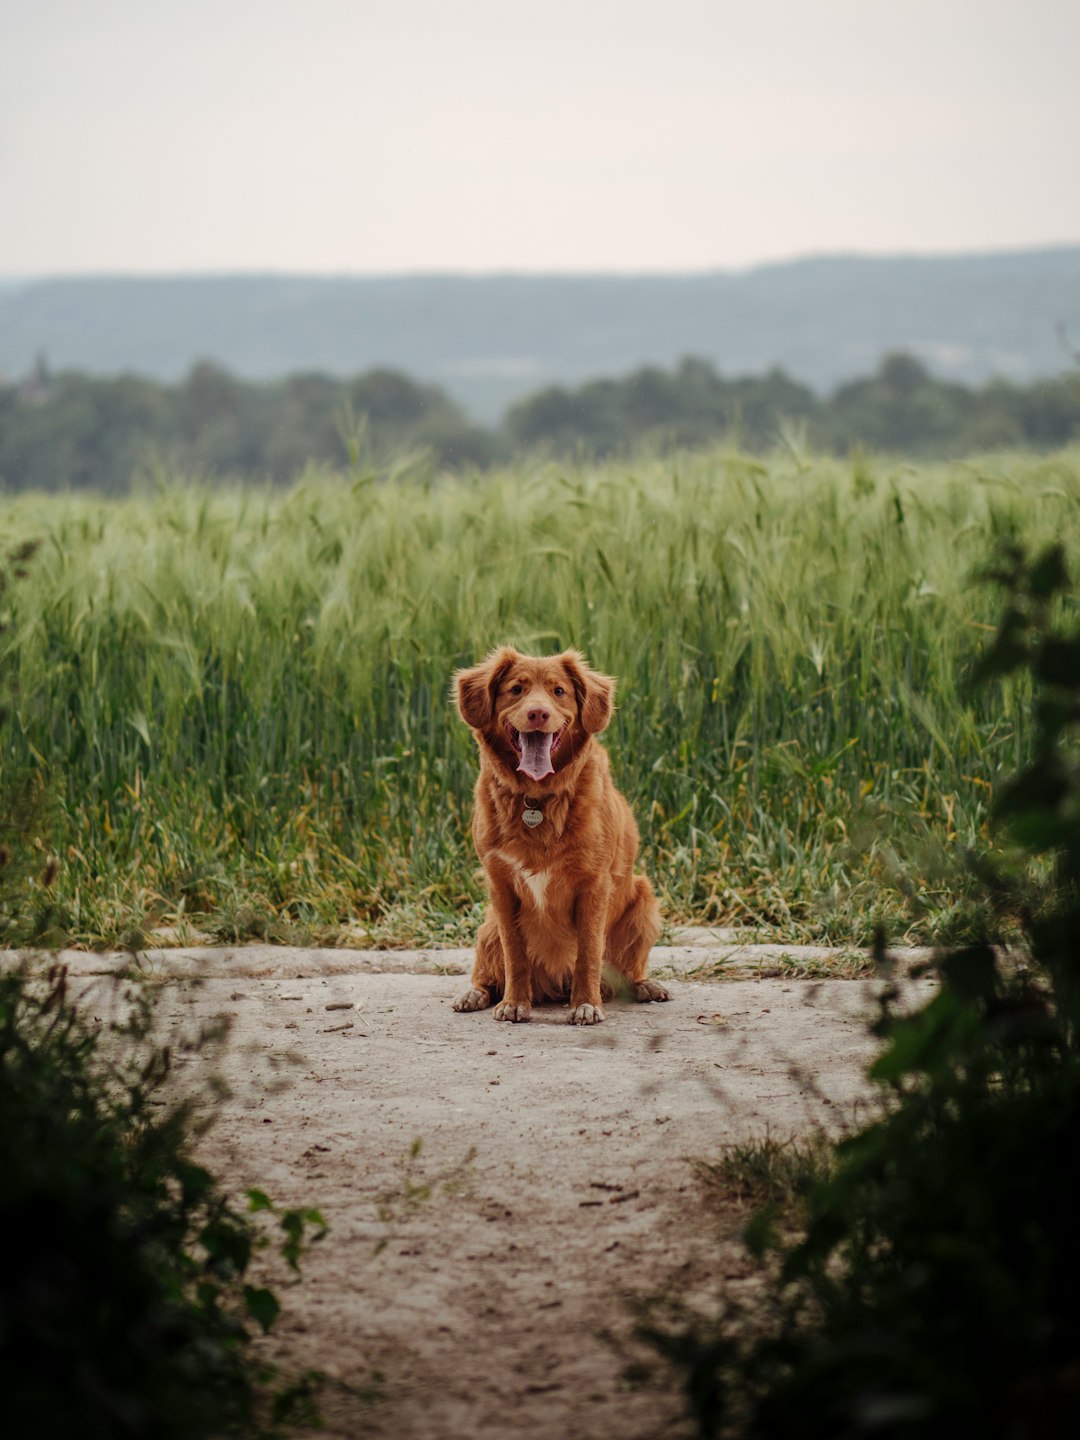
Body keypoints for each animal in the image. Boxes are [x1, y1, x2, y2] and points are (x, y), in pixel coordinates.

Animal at [449, 642, 668, 1025]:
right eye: (516, 690)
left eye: (559, 691)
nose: (538, 713)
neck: (536, 797)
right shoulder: (501, 886)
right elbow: (515, 954)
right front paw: (514, 1002)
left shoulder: (594, 884)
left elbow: (588, 952)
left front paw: (586, 1004)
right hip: (488, 927)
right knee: (487, 973)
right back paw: (475, 994)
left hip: (643, 903)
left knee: (630, 969)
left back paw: (644, 986)